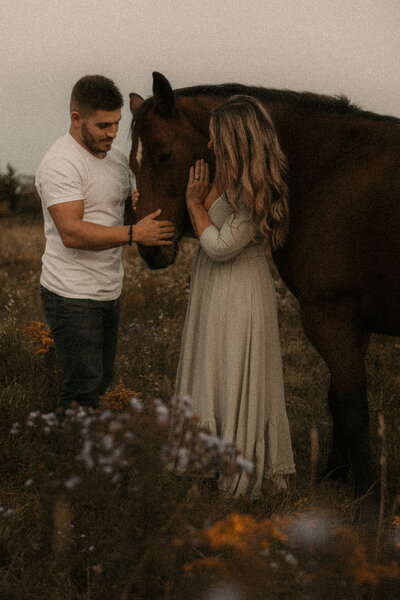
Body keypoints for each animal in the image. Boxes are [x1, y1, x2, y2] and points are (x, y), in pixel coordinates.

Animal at [129, 70, 400, 502]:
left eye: (164, 154)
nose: (150, 248)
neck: (326, 169)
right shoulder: (351, 323)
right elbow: (338, 401)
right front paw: (335, 477)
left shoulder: (331, 314)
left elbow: (354, 407)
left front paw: (368, 497)